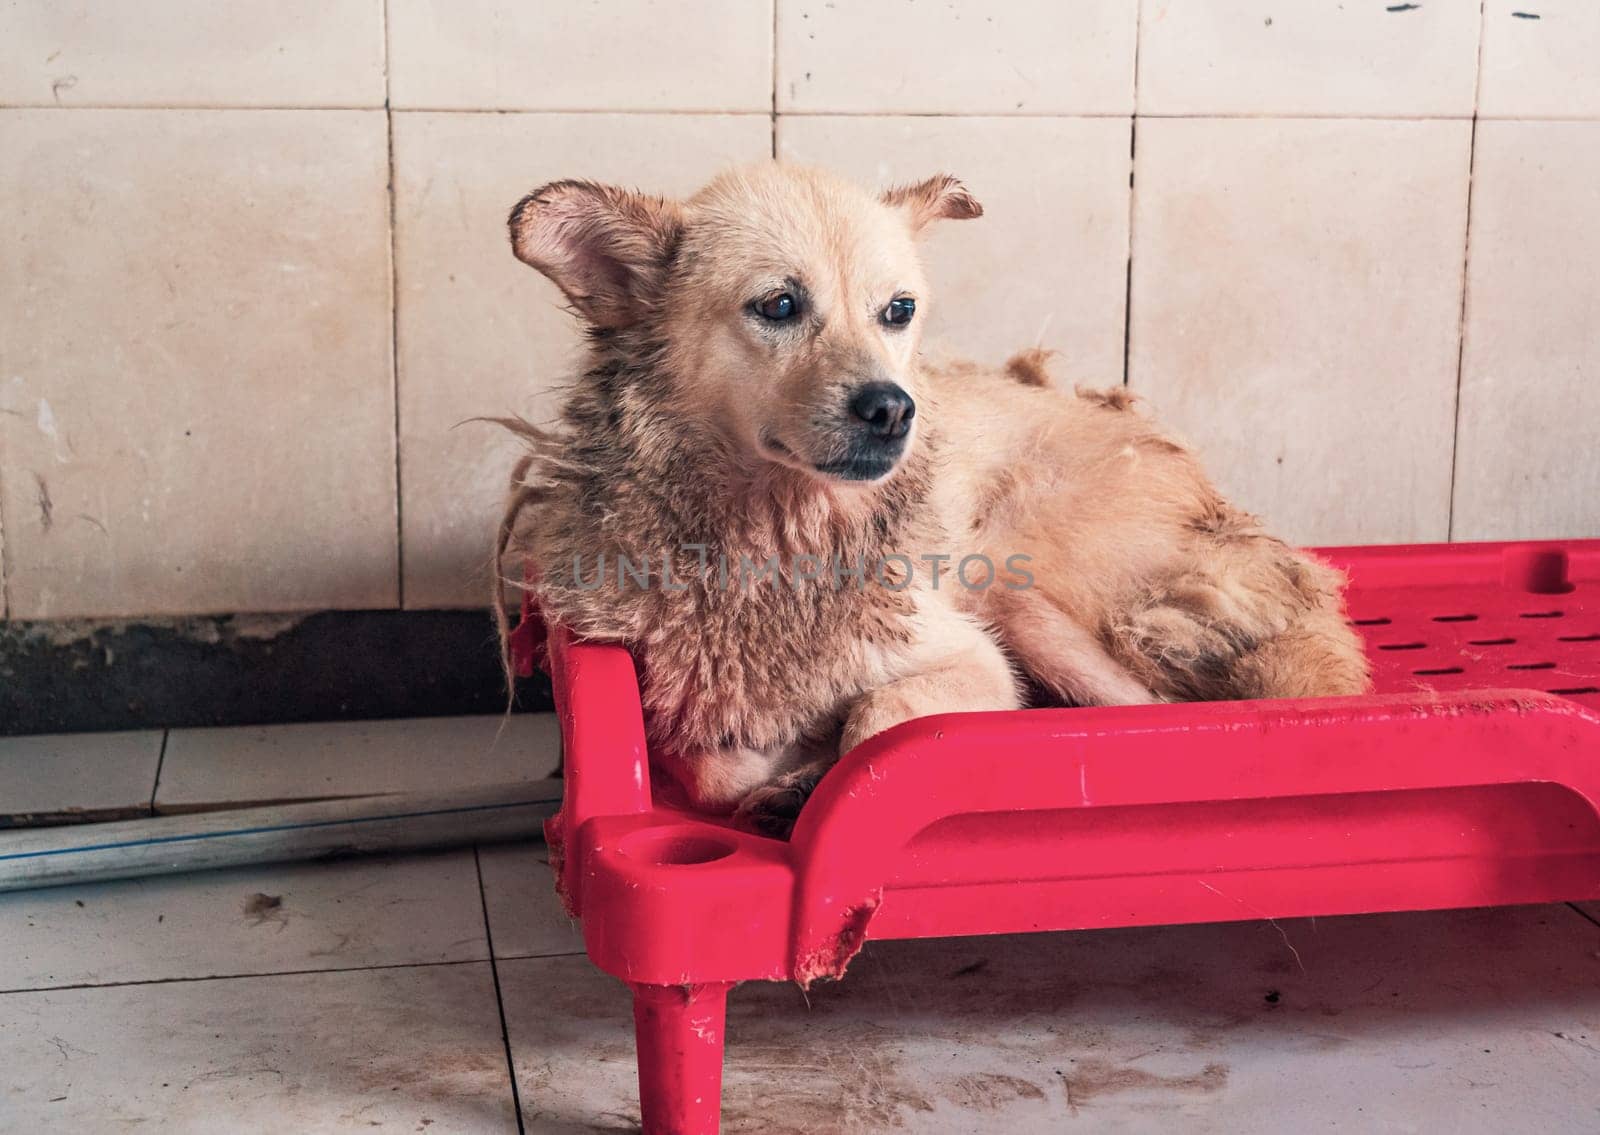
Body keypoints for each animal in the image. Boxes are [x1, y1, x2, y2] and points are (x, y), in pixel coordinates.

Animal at [492, 161, 1369, 832]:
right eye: (779, 305)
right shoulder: (674, 697)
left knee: (1144, 710)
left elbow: (877, 730)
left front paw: (821, 767)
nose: (892, 409)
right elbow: (711, 766)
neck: (780, 538)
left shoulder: (972, 659)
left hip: (1018, 589)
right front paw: (783, 775)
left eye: (898, 310)